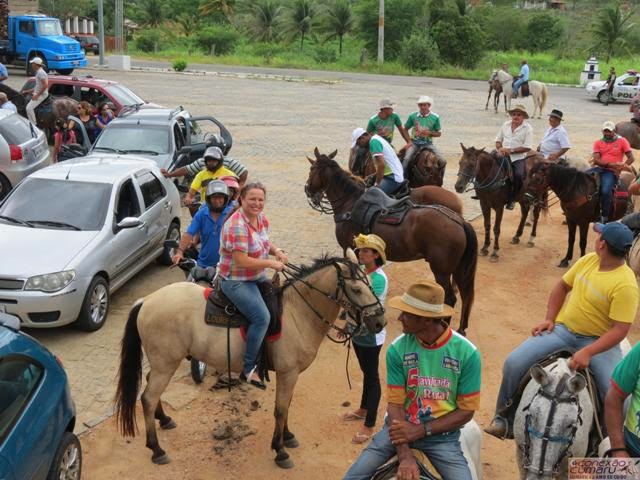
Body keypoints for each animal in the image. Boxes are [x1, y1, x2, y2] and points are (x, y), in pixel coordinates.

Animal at [114, 254, 386, 469]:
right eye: (357, 289)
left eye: (370, 284)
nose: (379, 322)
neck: (298, 313)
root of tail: (146, 301)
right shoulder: (288, 373)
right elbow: (281, 408)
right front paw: (280, 450)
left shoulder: (292, 374)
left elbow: (287, 405)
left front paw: (287, 436)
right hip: (166, 364)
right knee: (148, 398)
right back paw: (156, 449)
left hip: (162, 363)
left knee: (151, 389)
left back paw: (164, 419)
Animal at [305, 148, 477, 334]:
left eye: (312, 169)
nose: (307, 189)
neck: (349, 204)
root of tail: (459, 220)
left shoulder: (347, 247)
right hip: (458, 269)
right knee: (464, 295)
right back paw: (461, 327)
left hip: (441, 271)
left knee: (450, 298)